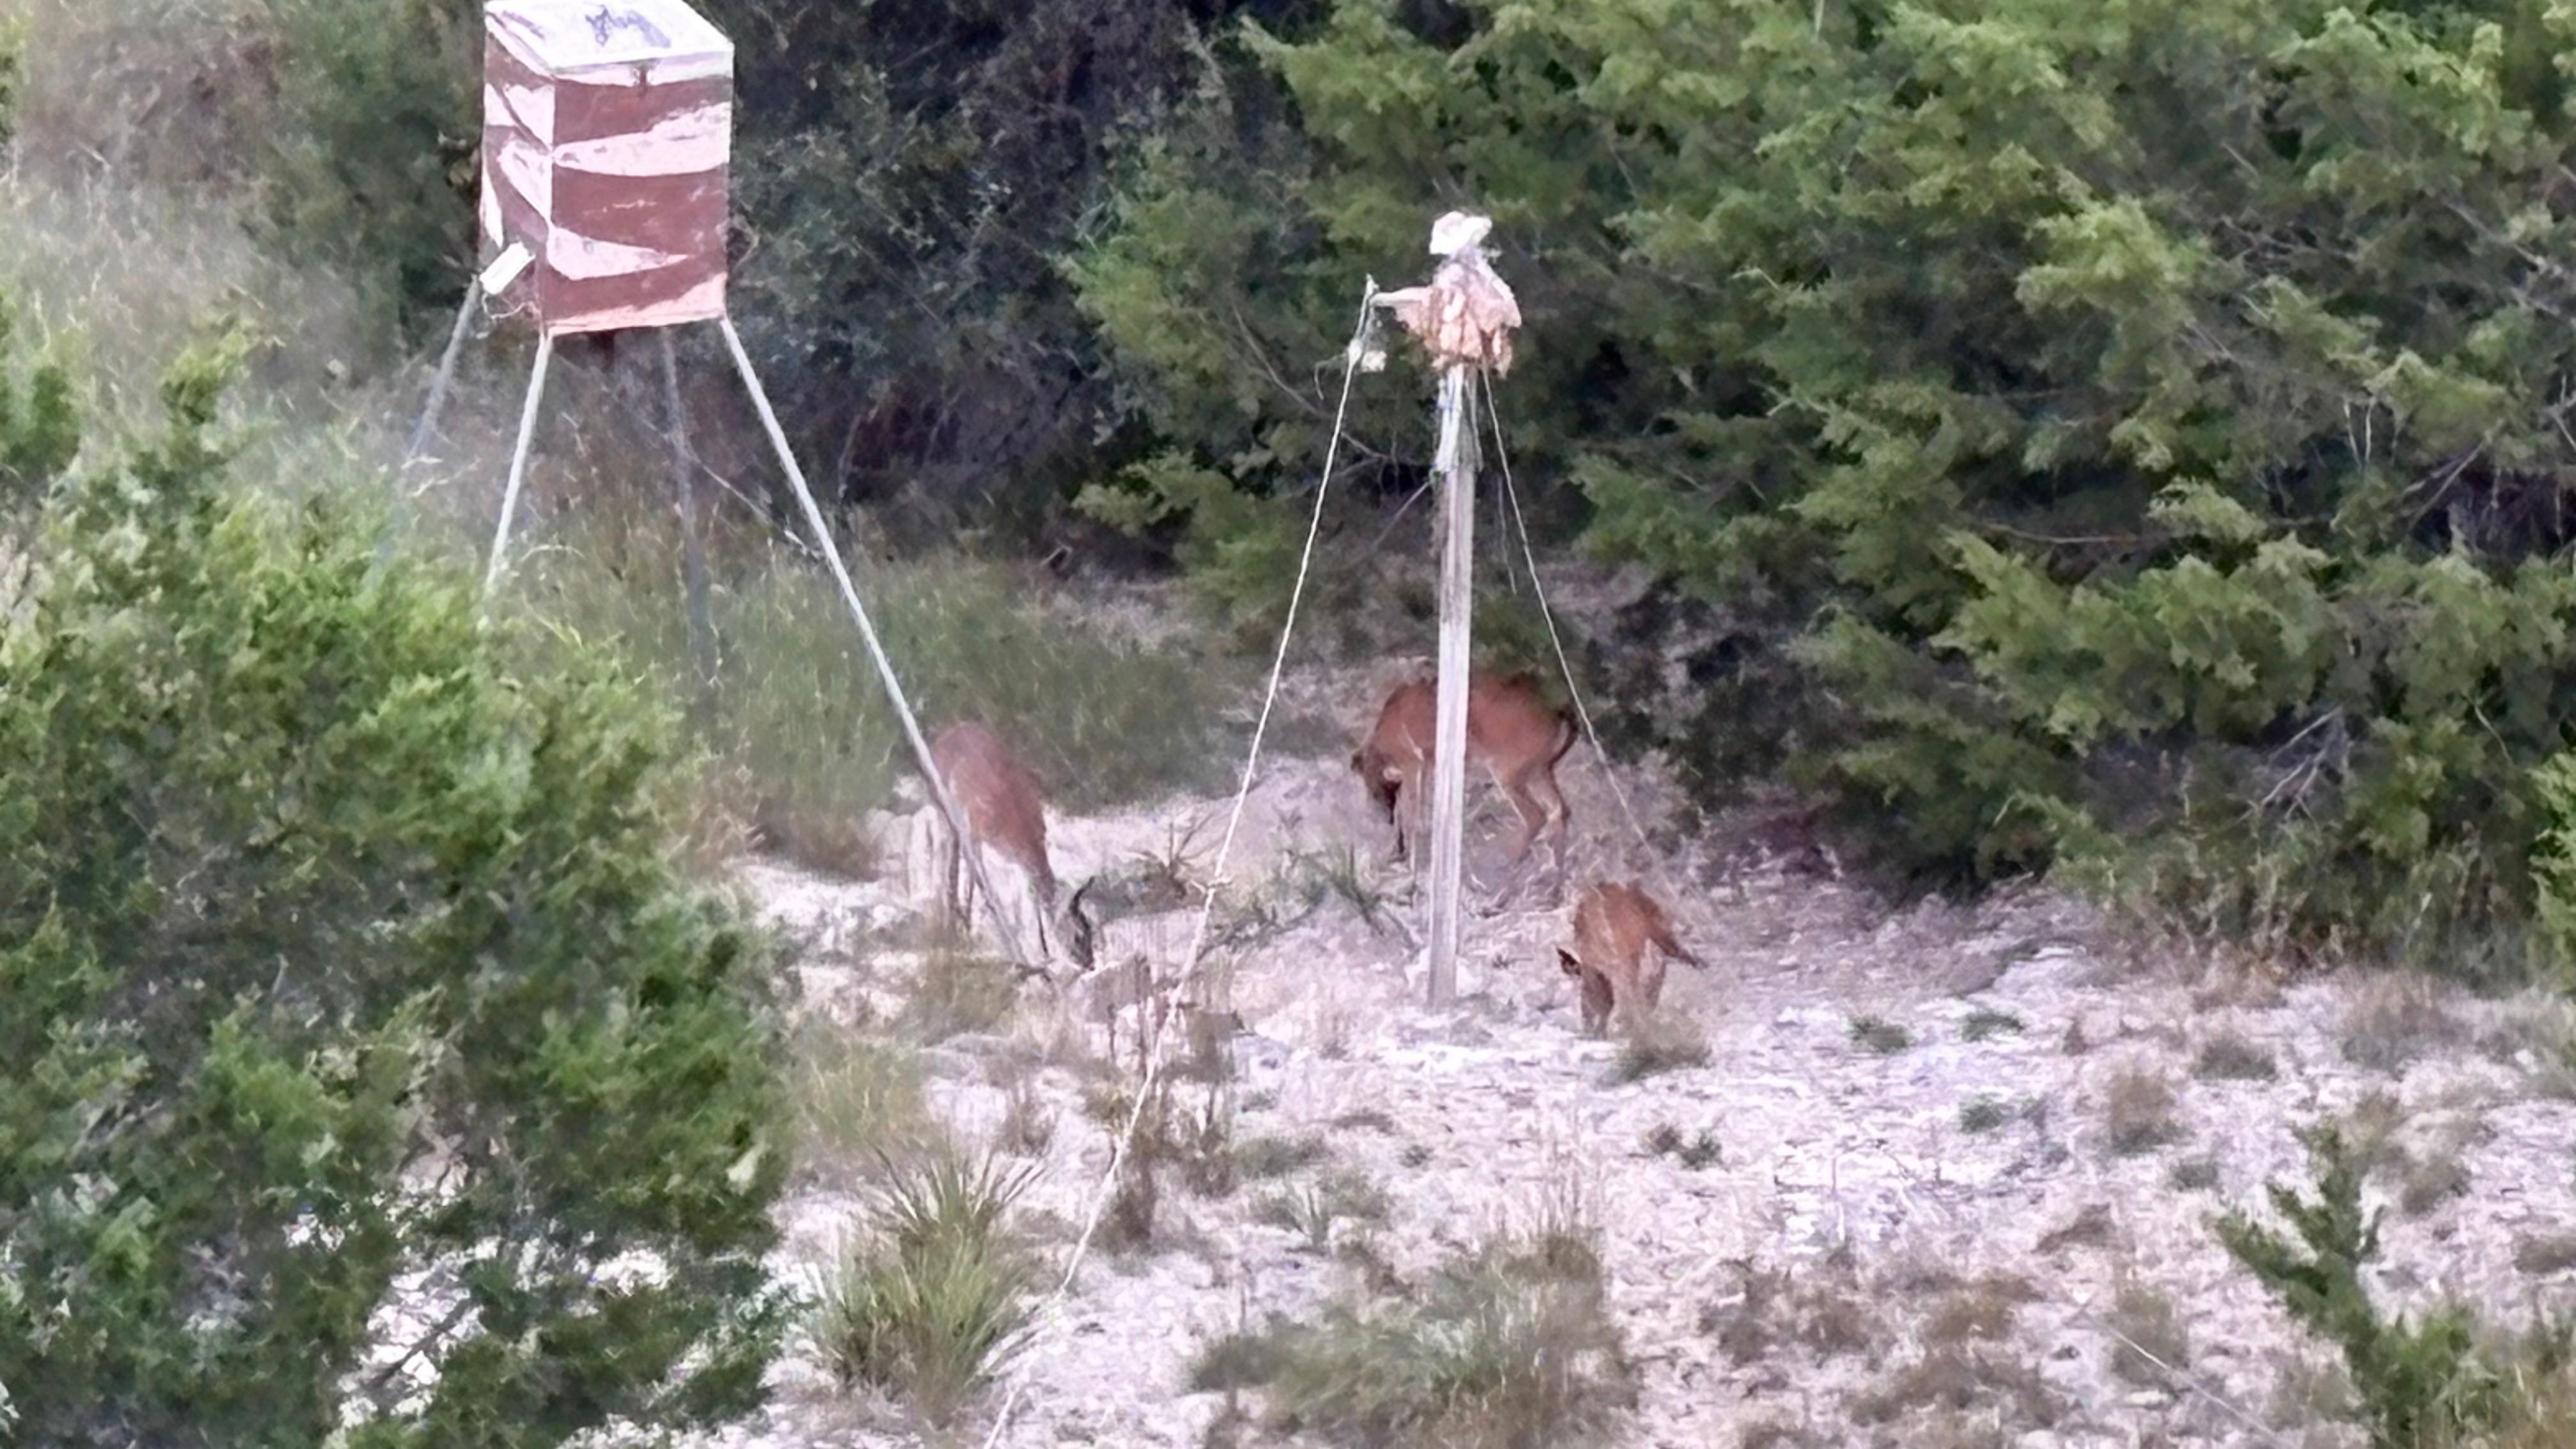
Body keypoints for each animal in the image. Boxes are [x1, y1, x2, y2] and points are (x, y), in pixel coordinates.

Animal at [926, 721, 1098, 972]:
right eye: (1078, 935)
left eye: (1090, 930)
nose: (1090, 963)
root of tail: (944, 734)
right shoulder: (975, 828)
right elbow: (978, 878)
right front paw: (969, 924)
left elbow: (1030, 890)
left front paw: (1044, 949)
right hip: (942, 804)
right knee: (950, 849)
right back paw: (952, 916)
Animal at [1350, 668, 1577, 893]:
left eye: (1375, 792)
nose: (1384, 818)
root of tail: (1559, 717)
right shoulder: (1425, 762)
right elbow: (1420, 802)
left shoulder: (1412, 762)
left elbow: (1411, 814)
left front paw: (1411, 865)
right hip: (1538, 769)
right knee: (1559, 809)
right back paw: (1556, 877)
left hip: (1507, 771)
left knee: (1536, 815)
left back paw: (1512, 862)